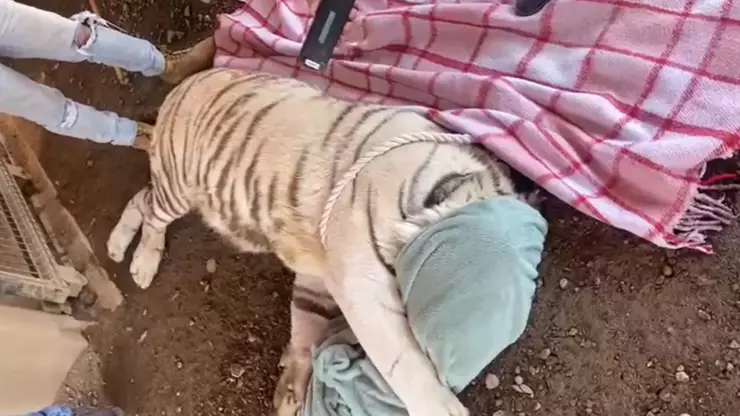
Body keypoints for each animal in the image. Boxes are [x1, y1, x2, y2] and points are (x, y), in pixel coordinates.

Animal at [106, 68, 519, 416]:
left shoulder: (321, 276)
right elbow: (399, 358)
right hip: (178, 187)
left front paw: (292, 386)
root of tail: (182, 86)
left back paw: (116, 245)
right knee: (152, 214)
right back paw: (141, 261)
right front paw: (442, 407)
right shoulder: (360, 283)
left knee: (142, 198)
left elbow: (307, 326)